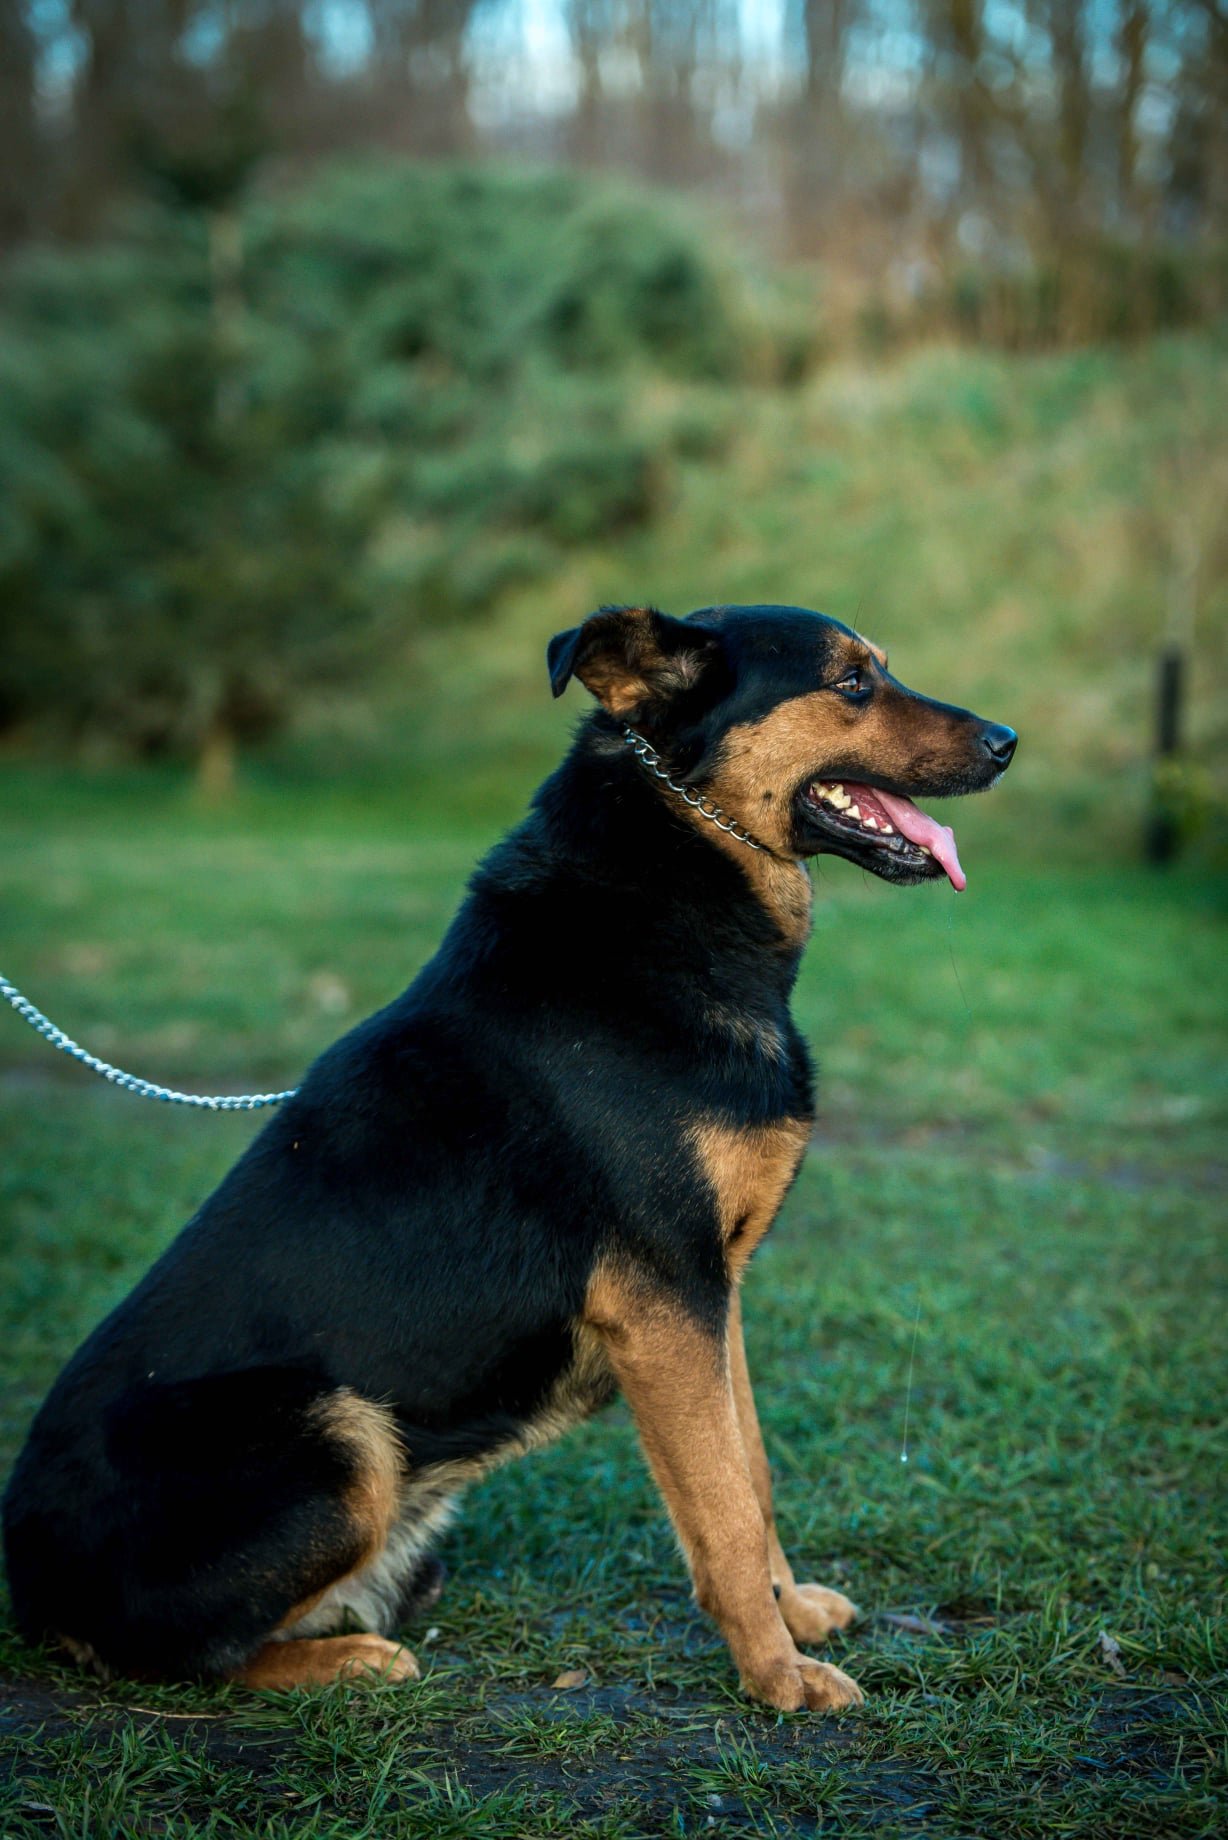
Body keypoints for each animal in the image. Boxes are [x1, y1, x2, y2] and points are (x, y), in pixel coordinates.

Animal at [3, 603, 1016, 1711]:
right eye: (850, 683)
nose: (1009, 743)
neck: (669, 874)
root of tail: (28, 1591)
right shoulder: (667, 1303)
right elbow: (721, 1508)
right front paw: (777, 1675)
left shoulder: (715, 1295)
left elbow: (749, 1471)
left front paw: (788, 1621)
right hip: (337, 1429)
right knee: (196, 1657)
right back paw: (351, 1661)